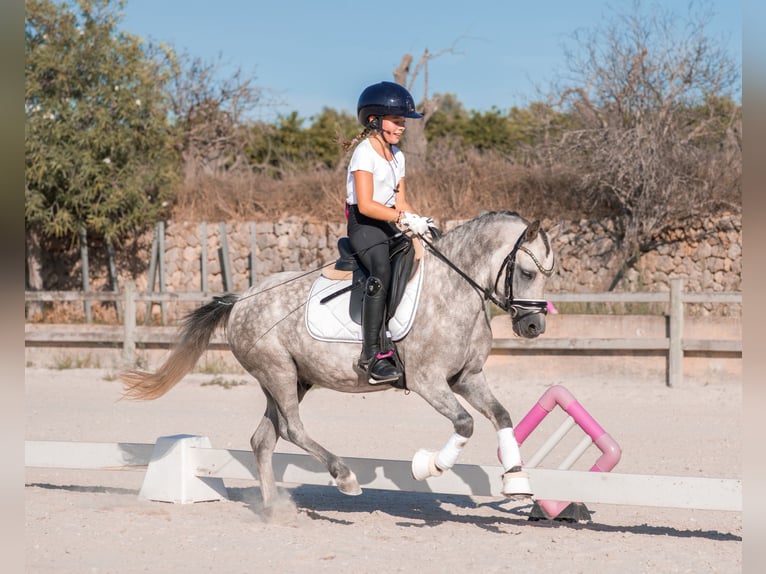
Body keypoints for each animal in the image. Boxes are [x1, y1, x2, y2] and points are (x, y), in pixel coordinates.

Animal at [121, 210, 556, 508]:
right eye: (527, 271)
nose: (534, 326)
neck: (453, 290)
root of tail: (241, 299)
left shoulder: (467, 377)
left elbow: (501, 416)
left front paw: (517, 484)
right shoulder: (427, 381)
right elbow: (465, 423)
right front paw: (428, 466)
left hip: (293, 378)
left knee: (263, 440)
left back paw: (275, 509)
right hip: (278, 371)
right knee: (292, 430)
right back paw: (343, 476)